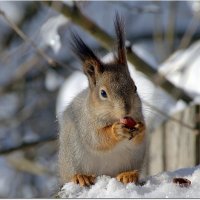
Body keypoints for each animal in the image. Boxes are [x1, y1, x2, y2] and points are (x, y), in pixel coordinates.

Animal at [57, 13, 145, 186]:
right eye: (103, 93)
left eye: (135, 87)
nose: (127, 109)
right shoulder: (85, 124)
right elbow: (97, 139)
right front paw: (116, 131)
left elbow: (140, 137)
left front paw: (141, 128)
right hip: (72, 159)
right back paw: (81, 176)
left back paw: (128, 174)